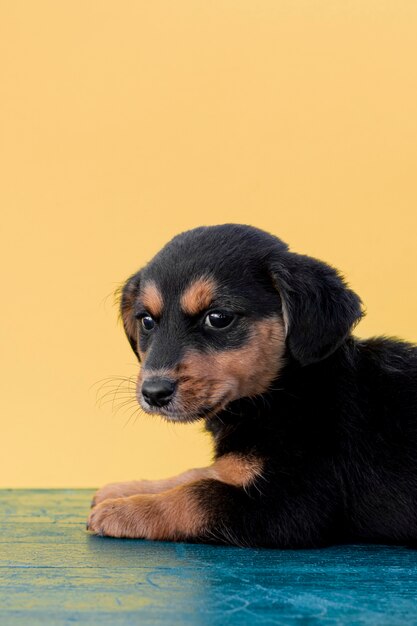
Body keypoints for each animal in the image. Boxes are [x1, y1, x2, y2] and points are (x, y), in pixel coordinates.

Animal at [87, 224, 416, 544]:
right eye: (146, 321)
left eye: (218, 318)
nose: (154, 393)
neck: (289, 389)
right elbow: (199, 473)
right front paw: (127, 488)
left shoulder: (293, 502)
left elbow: (197, 495)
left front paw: (122, 510)